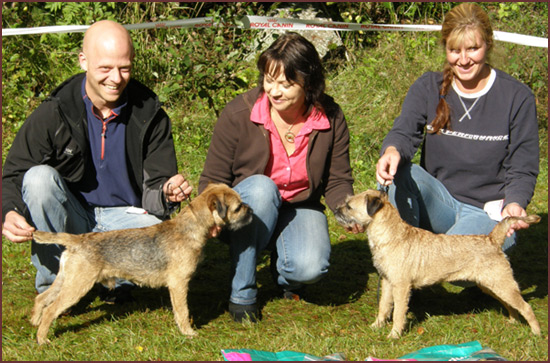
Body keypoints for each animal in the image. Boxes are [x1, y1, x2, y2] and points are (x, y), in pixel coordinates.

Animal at [30, 183, 254, 346]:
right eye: (238, 208)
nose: (251, 211)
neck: (190, 227)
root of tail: (77, 240)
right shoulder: (179, 284)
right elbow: (183, 312)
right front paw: (188, 332)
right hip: (78, 286)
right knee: (51, 309)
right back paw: (42, 338)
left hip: (66, 280)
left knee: (41, 298)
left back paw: (34, 322)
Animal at [336, 189, 544, 340]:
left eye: (349, 206)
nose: (336, 210)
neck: (392, 235)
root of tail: (492, 239)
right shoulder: (388, 282)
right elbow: (384, 307)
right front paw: (376, 326)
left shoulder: (401, 287)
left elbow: (398, 313)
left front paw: (394, 334)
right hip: (492, 286)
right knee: (512, 305)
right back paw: (513, 322)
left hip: (501, 284)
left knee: (526, 307)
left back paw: (536, 333)